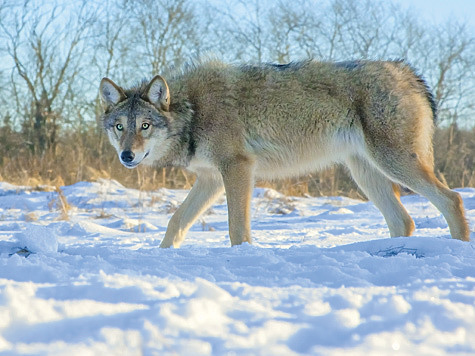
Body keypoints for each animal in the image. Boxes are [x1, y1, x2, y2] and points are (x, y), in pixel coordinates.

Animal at [98, 59, 470, 248]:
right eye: (120, 127)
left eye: (145, 126)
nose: (127, 156)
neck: (192, 110)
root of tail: (408, 73)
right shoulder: (211, 180)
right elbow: (176, 222)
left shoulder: (237, 169)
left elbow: (237, 229)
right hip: (366, 173)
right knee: (403, 221)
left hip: (393, 163)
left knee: (452, 199)